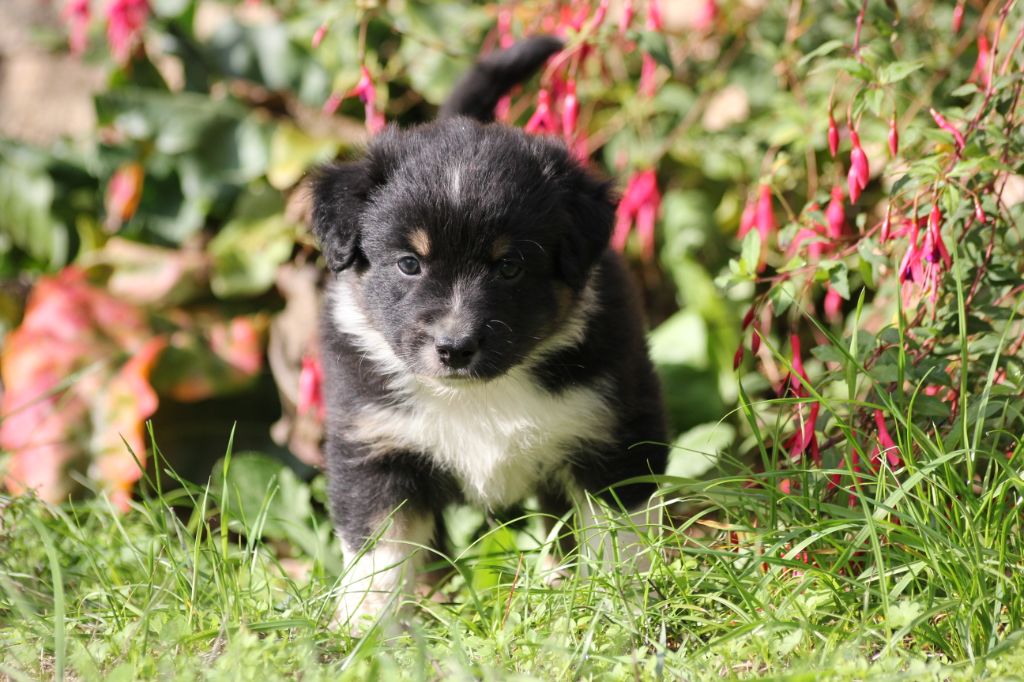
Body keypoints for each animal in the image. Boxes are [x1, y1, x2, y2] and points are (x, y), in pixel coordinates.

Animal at [307, 35, 667, 622]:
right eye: (409, 263)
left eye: (509, 266)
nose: (455, 348)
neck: (478, 396)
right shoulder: (375, 445)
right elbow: (379, 556)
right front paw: (367, 629)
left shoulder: (613, 430)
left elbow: (620, 538)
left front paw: (622, 612)